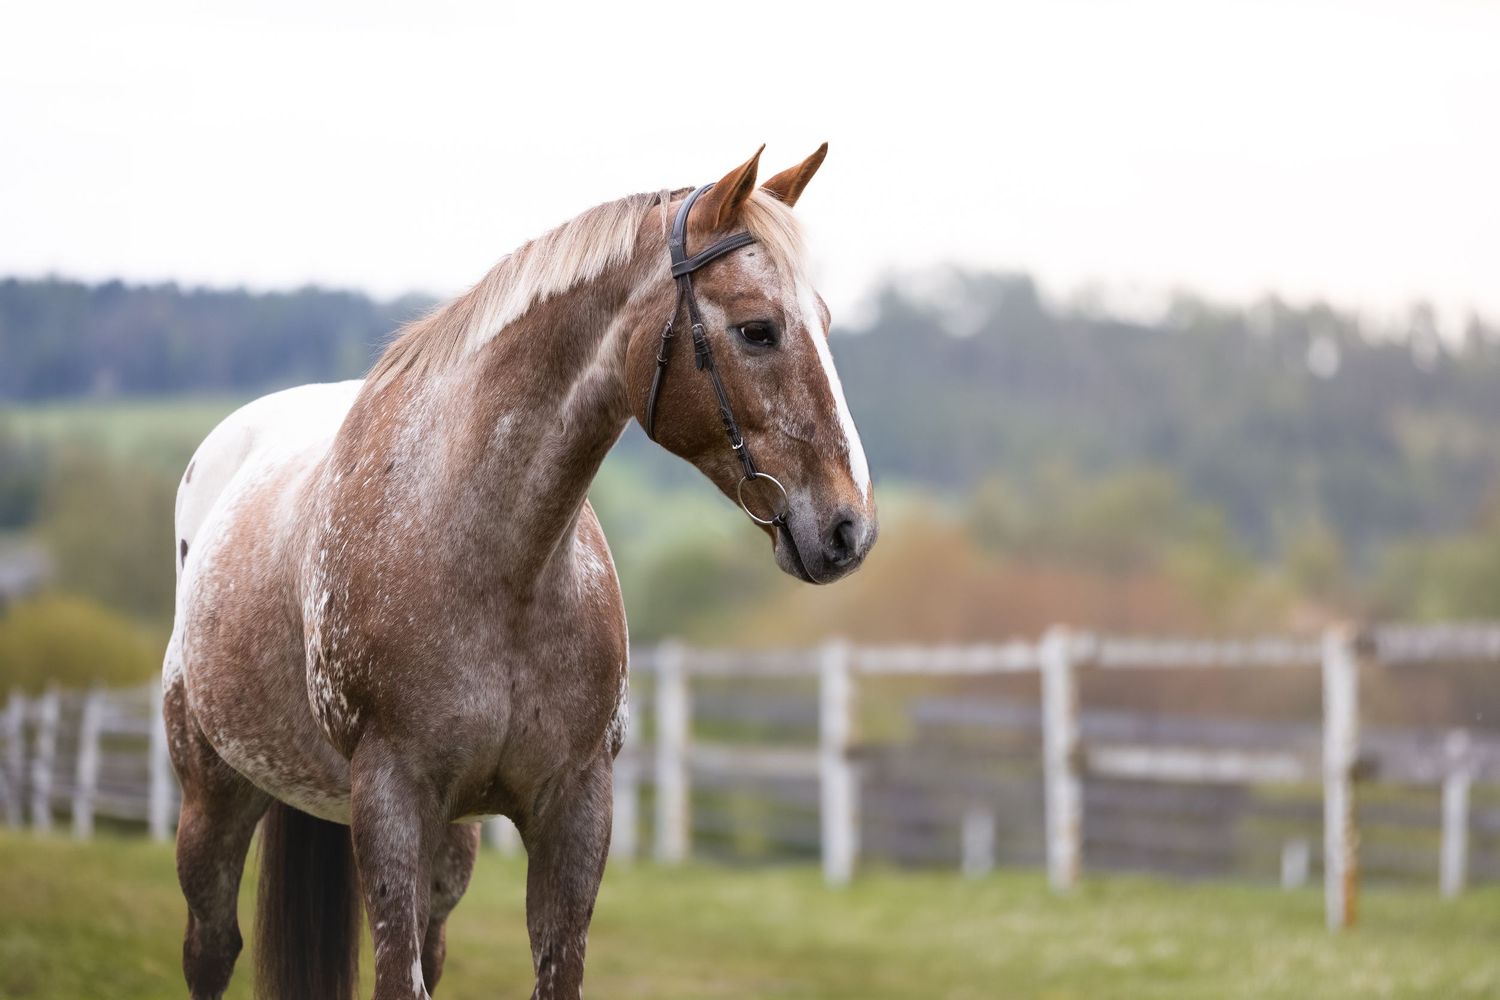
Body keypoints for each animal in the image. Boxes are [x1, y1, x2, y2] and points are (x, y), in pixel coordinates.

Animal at [163, 144, 877, 1000]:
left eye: (827, 323)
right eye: (758, 329)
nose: (847, 528)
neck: (499, 569)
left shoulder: (574, 808)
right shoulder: (391, 798)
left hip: (449, 847)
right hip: (215, 799)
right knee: (211, 948)